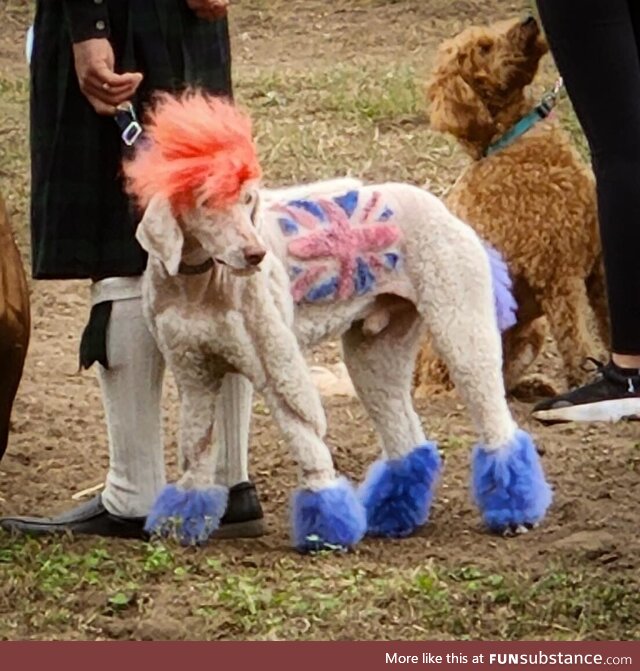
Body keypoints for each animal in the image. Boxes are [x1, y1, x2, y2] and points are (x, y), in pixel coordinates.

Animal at [412, 15, 608, 400]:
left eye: (490, 33)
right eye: (484, 48)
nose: (530, 20)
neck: (515, 140)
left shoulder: (597, 266)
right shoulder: (559, 275)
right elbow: (577, 341)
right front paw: (587, 381)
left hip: (531, 331)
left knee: (503, 379)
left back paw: (534, 385)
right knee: (440, 386)